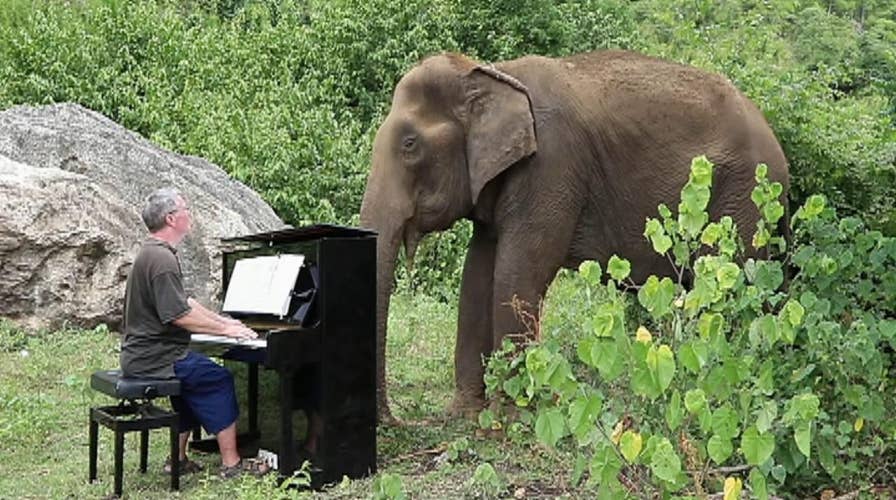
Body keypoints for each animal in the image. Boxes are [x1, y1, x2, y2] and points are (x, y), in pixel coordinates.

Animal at [360, 48, 788, 422]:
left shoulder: (552, 166)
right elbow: (477, 272)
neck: (491, 72)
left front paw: (508, 418)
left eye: (410, 145)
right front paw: (464, 415)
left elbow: (520, 273)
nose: (398, 421)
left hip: (743, 198)